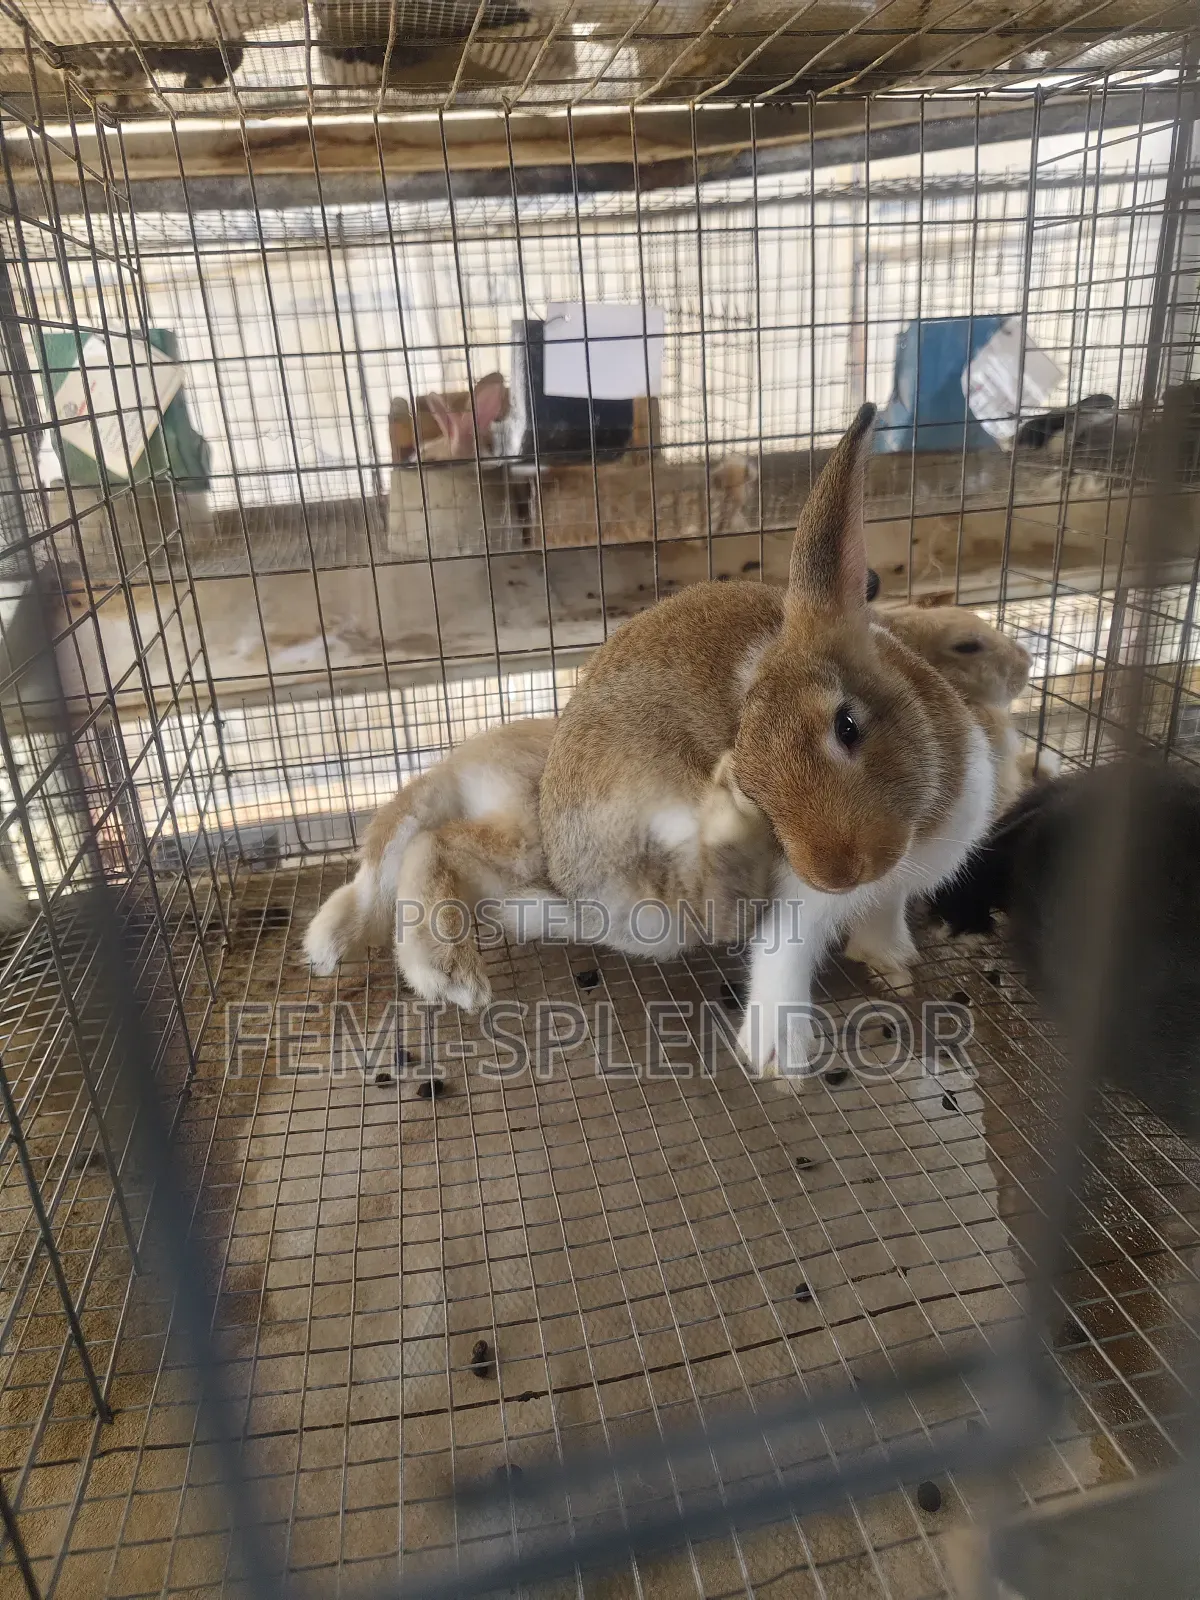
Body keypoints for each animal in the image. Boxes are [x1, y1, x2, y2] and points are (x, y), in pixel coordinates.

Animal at [540, 403, 999, 1077]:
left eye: (847, 726)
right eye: (754, 780)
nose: (837, 873)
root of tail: (576, 889)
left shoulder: (893, 888)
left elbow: (883, 918)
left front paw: (893, 964)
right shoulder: (794, 906)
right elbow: (780, 955)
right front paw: (779, 1054)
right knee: (709, 906)